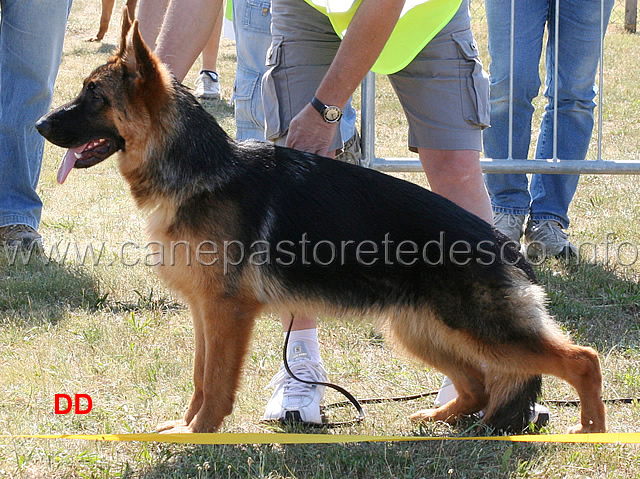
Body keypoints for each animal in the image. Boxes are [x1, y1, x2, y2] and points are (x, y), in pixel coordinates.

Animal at [37, 14, 608, 436]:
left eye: (93, 96)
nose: (39, 124)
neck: (199, 169)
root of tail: (506, 248)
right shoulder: (205, 311)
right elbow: (200, 378)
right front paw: (186, 426)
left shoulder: (227, 313)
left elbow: (216, 384)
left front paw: (200, 434)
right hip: (419, 330)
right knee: (478, 384)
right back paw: (438, 415)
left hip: (478, 328)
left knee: (580, 359)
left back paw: (592, 430)